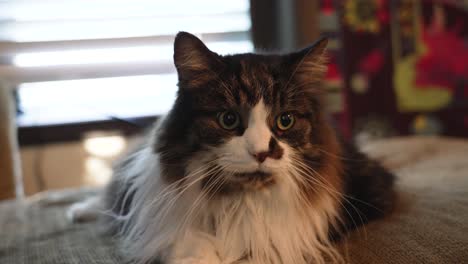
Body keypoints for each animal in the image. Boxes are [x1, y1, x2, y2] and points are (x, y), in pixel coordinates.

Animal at [68, 31, 394, 264]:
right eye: (228, 119)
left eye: (285, 120)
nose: (262, 152)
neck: (242, 202)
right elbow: (190, 245)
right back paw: (80, 211)